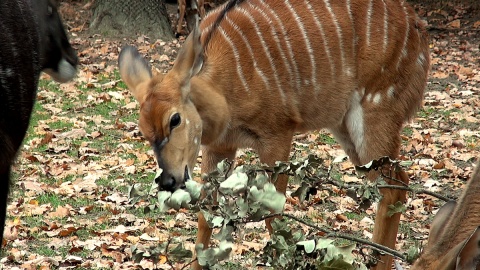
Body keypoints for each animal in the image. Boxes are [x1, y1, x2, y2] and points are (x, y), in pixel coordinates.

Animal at [118, 0, 430, 268]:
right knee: (397, 183)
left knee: (392, 188)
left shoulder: (277, 133)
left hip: (377, 111)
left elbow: (273, 215)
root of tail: (417, 25)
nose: (168, 180)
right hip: (345, 128)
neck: (224, 92)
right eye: (143, 130)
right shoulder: (220, 146)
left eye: (175, 119)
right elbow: (206, 213)